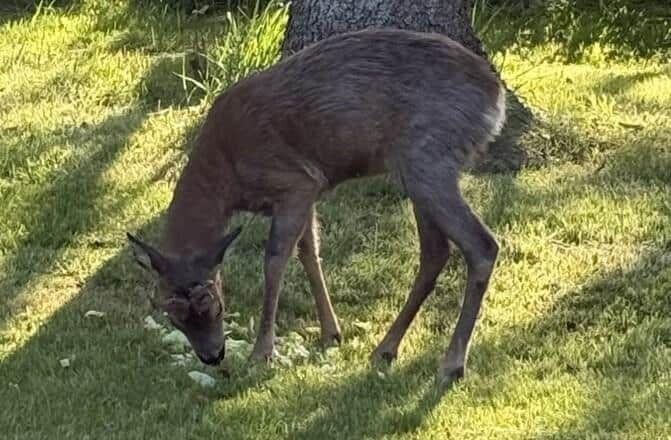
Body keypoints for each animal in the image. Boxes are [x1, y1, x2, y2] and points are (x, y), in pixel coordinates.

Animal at [127, 28, 505, 383]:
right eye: (173, 317)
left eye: (216, 307)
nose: (212, 356)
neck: (226, 170)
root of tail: (495, 97)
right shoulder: (307, 192)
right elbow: (309, 250)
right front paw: (331, 332)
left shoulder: (294, 182)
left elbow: (275, 261)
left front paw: (262, 352)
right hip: (416, 170)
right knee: (436, 251)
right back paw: (386, 349)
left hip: (428, 159)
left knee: (482, 245)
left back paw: (451, 364)